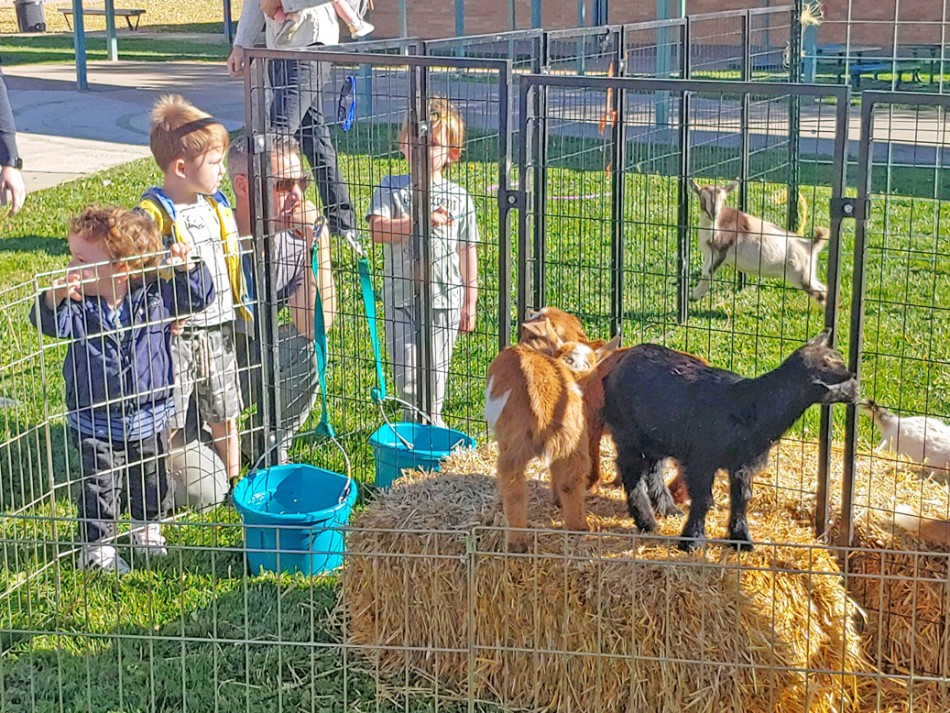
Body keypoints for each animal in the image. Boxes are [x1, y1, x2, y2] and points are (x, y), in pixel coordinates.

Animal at [488, 322, 620, 552]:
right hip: (574, 440)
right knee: (573, 478)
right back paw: (578, 527)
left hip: (514, 446)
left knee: (514, 486)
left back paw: (516, 542)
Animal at [600, 330, 860, 552]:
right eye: (841, 381)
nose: (857, 391)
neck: (752, 405)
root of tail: (620, 361)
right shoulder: (702, 459)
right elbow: (703, 500)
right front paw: (691, 541)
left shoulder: (742, 464)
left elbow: (741, 499)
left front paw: (741, 539)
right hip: (628, 431)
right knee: (631, 471)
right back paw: (646, 520)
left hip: (657, 435)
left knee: (653, 469)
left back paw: (668, 509)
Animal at [688, 179, 828, 304]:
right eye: (702, 197)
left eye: (723, 199)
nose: (713, 214)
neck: (716, 225)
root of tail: (810, 245)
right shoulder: (709, 253)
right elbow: (704, 271)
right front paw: (697, 295)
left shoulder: (721, 251)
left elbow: (707, 272)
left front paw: (694, 296)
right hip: (807, 273)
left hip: (799, 274)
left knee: (822, 295)